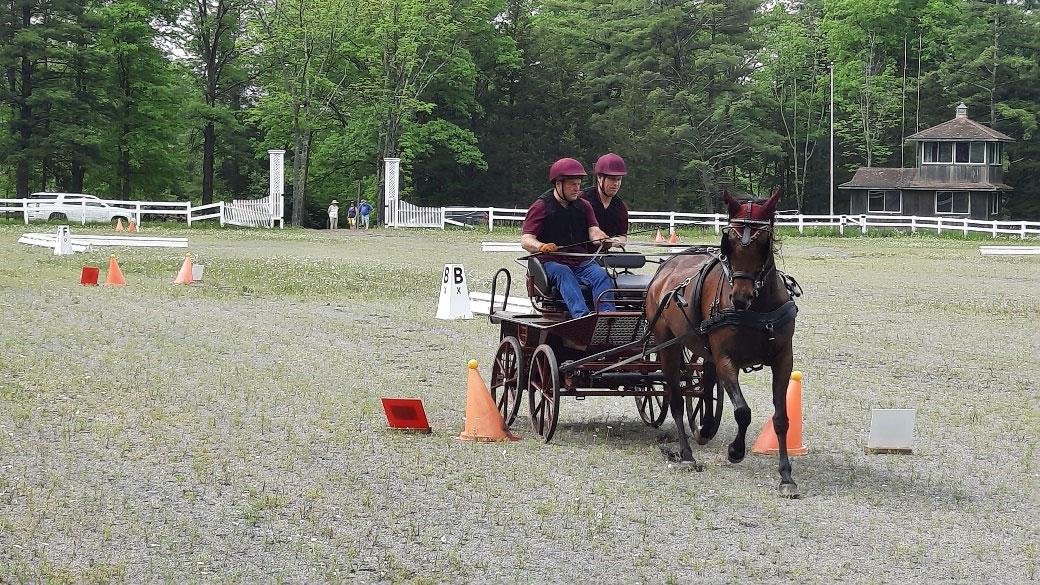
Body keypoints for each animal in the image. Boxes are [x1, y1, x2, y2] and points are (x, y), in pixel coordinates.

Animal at [645, 188, 801, 497]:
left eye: (763, 242)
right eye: (729, 240)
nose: (740, 297)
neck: (757, 310)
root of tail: (666, 266)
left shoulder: (783, 359)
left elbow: (781, 418)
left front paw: (786, 476)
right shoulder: (726, 358)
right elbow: (742, 411)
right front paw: (735, 451)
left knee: (702, 384)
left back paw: (704, 428)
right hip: (667, 345)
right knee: (675, 398)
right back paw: (686, 454)